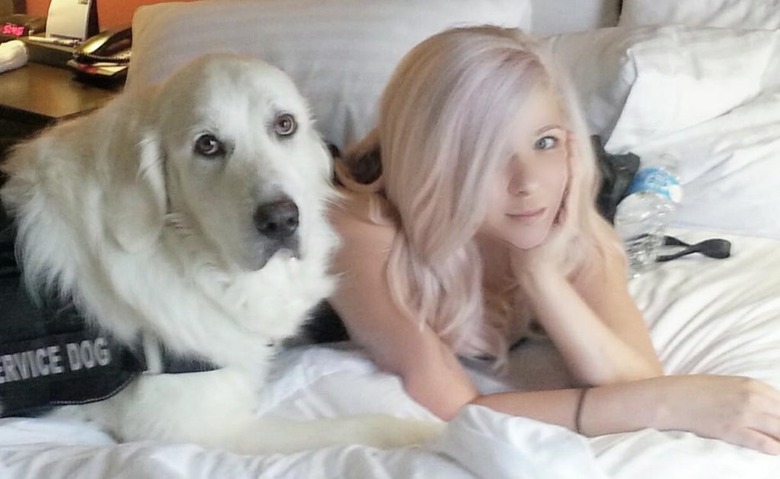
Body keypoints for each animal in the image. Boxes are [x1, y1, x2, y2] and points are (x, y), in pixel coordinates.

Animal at [0, 54, 438, 456]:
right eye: (207, 145)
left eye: (285, 124)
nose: (281, 220)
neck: (183, 249)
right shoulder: (202, 428)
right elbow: (360, 427)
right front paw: (430, 433)